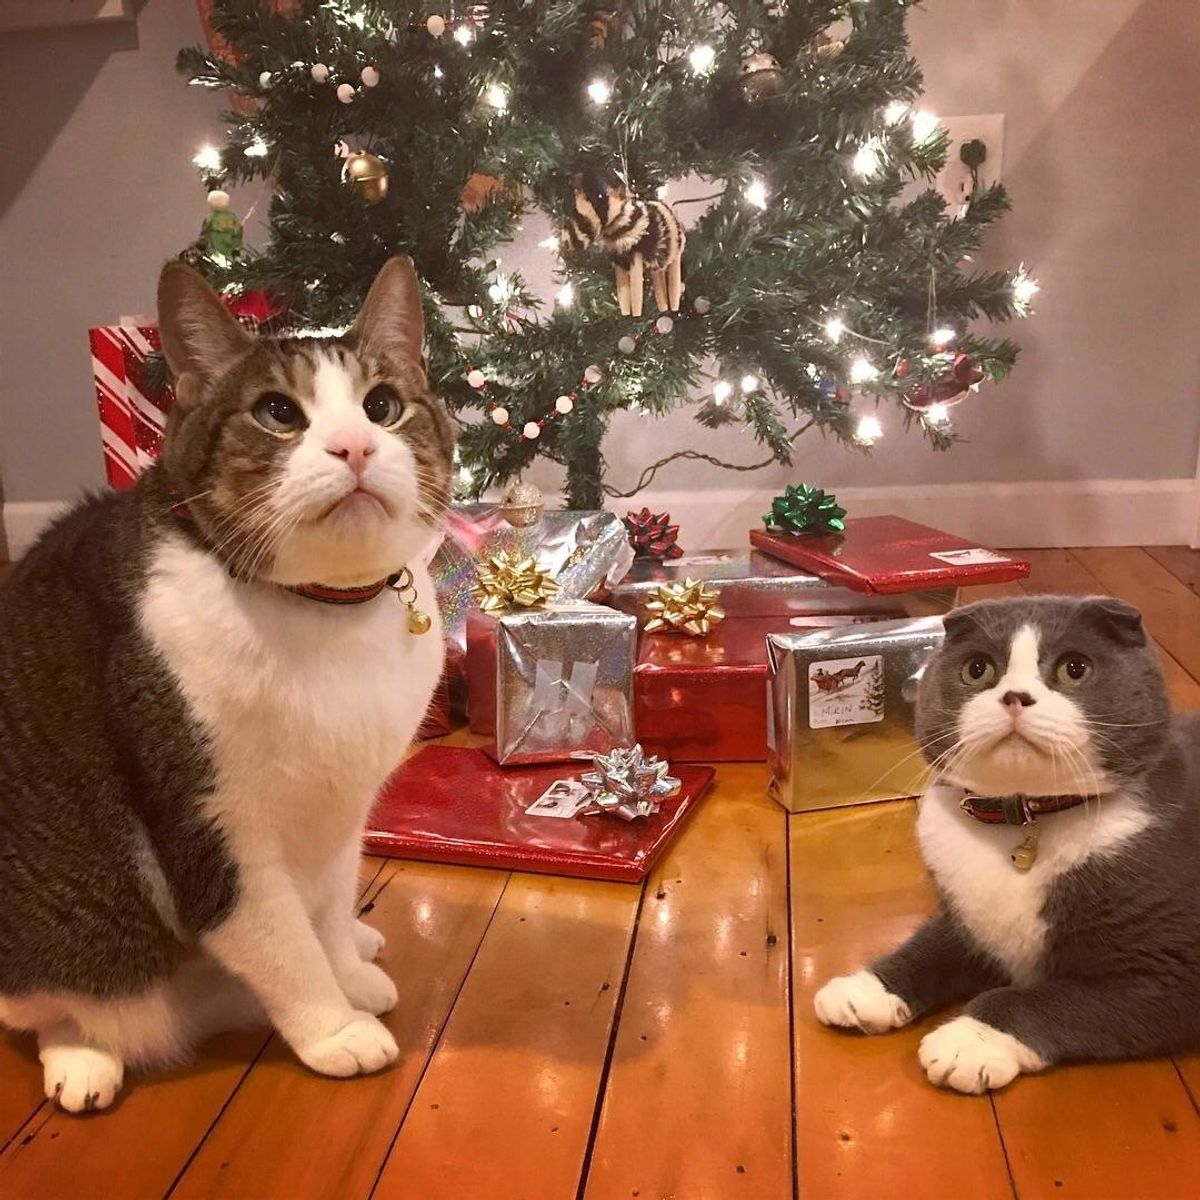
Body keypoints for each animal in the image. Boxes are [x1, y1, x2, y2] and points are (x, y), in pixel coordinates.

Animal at [0, 258, 453, 1108]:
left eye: (382, 405)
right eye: (278, 413)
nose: (353, 446)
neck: (328, 616)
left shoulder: (344, 810)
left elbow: (329, 910)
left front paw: (349, 974)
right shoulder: (213, 824)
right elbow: (281, 942)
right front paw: (334, 1028)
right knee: (61, 1006)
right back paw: (84, 1057)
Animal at [811, 595, 1200, 1094]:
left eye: (1075, 668)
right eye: (977, 669)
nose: (1015, 696)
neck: (1024, 820)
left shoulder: (1174, 971)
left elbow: (1052, 998)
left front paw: (970, 1041)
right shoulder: (969, 917)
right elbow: (931, 944)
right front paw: (867, 990)